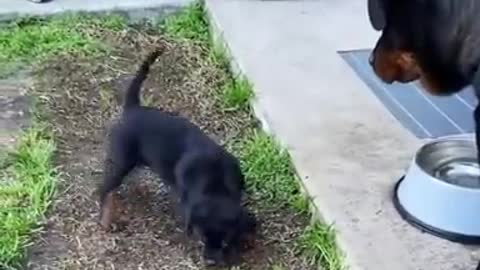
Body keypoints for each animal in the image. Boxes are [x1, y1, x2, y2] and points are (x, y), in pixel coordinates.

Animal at [97, 48, 255, 266]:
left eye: (224, 242)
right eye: (201, 239)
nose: (210, 262)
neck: (215, 184)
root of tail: (133, 107)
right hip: (122, 159)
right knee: (104, 188)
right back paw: (106, 218)